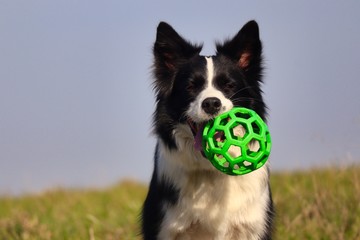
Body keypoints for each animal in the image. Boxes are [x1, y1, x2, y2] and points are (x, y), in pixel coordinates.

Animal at [142, 20, 274, 240]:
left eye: (228, 85)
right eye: (190, 87)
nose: (211, 103)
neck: (211, 169)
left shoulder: (253, 226)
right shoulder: (165, 228)